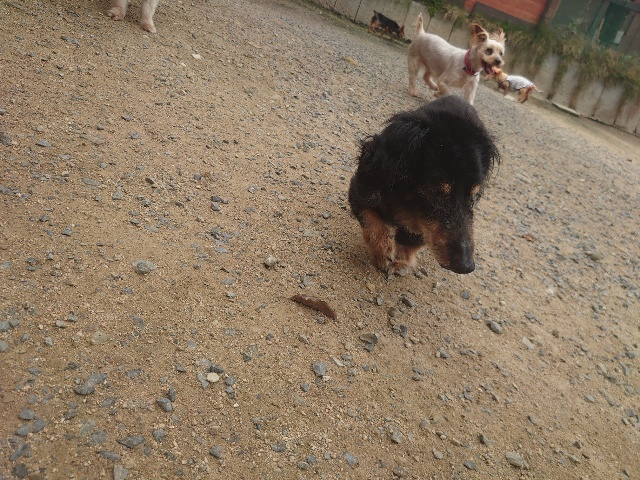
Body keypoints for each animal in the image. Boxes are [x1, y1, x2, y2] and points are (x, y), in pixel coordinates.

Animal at [348, 96, 500, 275]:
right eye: (435, 192)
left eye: (475, 197)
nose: (466, 266)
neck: (407, 200)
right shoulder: (362, 190)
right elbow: (372, 224)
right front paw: (382, 254)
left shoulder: (424, 223)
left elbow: (412, 237)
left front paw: (401, 262)